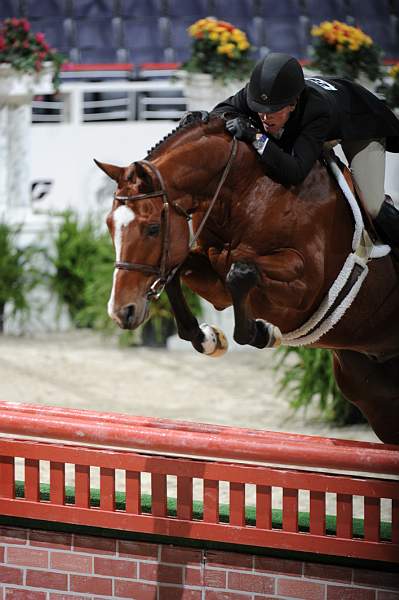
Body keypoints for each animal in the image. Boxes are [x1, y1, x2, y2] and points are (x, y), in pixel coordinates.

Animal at [95, 115, 399, 442]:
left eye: (152, 228)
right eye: (109, 225)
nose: (122, 312)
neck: (246, 191)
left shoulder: (306, 287)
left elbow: (240, 273)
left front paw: (263, 333)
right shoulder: (213, 280)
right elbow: (181, 272)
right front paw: (209, 338)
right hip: (374, 395)